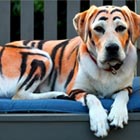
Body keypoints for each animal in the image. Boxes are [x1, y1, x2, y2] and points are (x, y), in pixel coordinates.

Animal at [3, 5, 139, 137]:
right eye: (98, 28)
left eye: (121, 28)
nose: (112, 48)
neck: (108, 69)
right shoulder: (76, 89)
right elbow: (92, 98)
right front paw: (99, 121)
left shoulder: (126, 88)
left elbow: (123, 96)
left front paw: (118, 114)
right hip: (43, 58)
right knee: (20, 96)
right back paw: (58, 94)